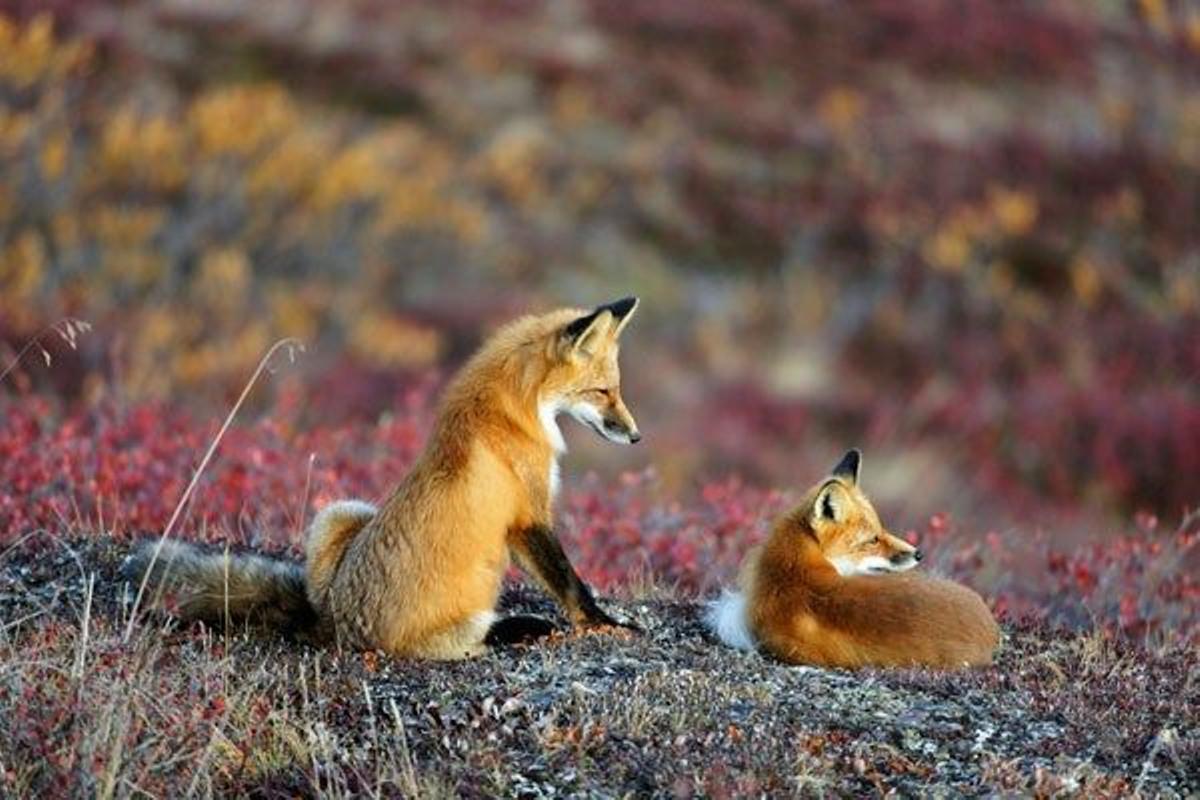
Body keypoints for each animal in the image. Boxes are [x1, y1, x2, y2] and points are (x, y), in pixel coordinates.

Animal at [126, 297, 643, 662]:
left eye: (616, 390)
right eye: (603, 392)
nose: (637, 436)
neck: (514, 408)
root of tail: (333, 627)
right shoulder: (528, 515)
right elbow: (570, 582)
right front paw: (605, 624)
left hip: (341, 511)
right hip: (458, 628)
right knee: (483, 639)